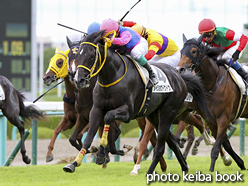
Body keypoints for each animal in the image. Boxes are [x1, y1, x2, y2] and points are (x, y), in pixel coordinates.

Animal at [62, 29, 215, 174]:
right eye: (77, 56)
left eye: (91, 56)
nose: (79, 80)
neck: (111, 77)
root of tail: (179, 76)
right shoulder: (96, 110)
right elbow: (88, 138)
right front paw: (74, 163)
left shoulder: (127, 112)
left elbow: (109, 118)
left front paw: (103, 152)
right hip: (154, 116)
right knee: (171, 142)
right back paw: (184, 166)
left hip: (168, 113)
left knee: (161, 146)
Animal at [177, 33, 247, 171]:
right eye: (181, 51)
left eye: (193, 51)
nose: (179, 69)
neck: (213, 83)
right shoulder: (211, 119)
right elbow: (225, 144)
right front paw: (239, 163)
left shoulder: (223, 118)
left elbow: (216, 148)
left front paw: (211, 170)